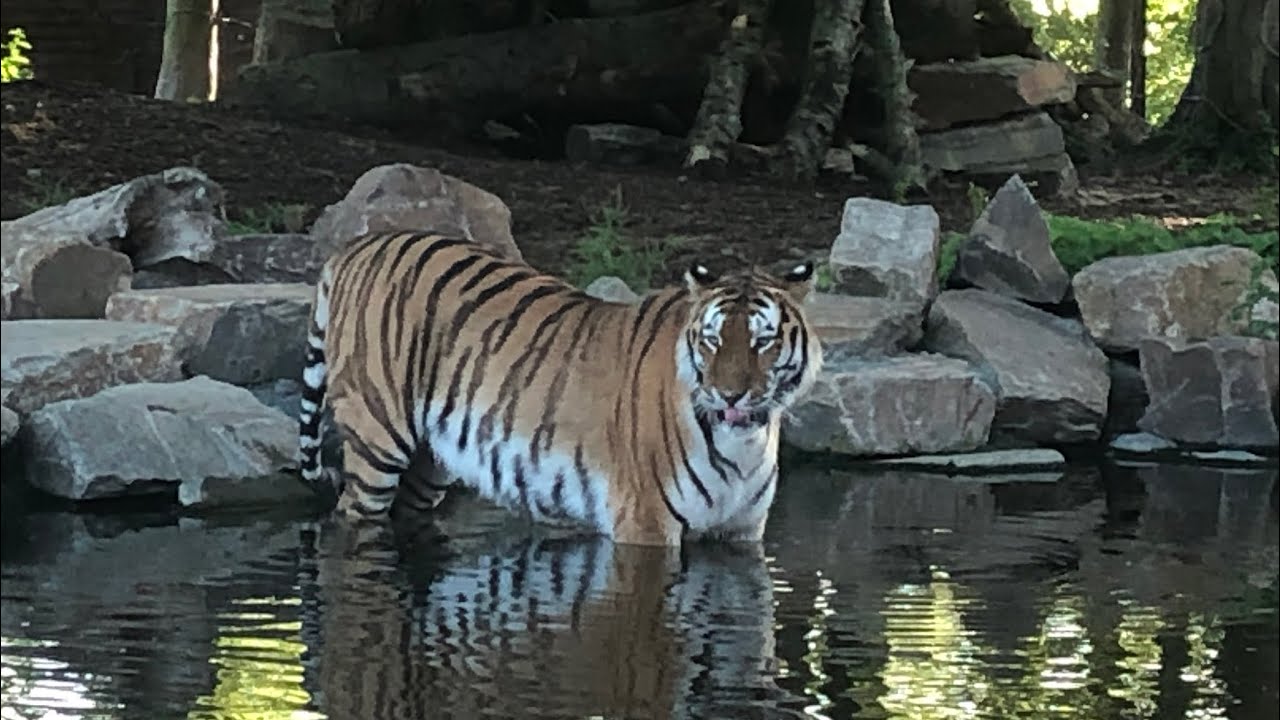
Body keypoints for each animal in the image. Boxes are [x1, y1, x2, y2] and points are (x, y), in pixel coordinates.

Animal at [297, 230, 822, 546]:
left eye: (762, 341)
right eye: (713, 340)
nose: (730, 395)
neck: (745, 443)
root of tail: (359, 244)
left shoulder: (740, 535)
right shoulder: (646, 525)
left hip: (432, 459)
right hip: (376, 439)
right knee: (350, 515)